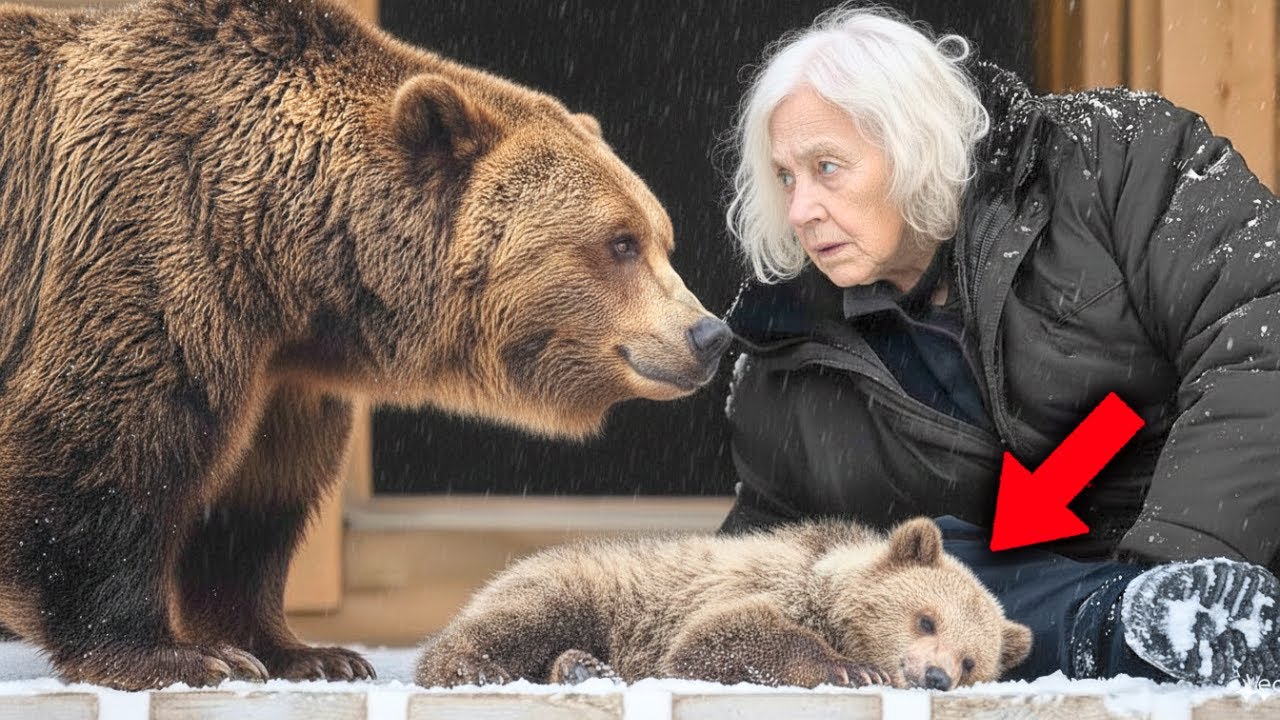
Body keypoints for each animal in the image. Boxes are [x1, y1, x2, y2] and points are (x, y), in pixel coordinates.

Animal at [0, 0, 732, 691]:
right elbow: (102, 445)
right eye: (620, 241)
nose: (710, 333)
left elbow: (256, 498)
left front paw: (309, 653)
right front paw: (179, 656)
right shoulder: (148, 242)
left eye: (662, 237)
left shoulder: (284, 379)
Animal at [415, 517, 1034, 690]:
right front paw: (852, 670)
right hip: (582, 586)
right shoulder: (766, 580)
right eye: (926, 618)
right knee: (522, 621)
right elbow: (722, 634)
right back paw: (476, 669)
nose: (936, 676)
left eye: (971, 661)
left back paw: (581, 667)